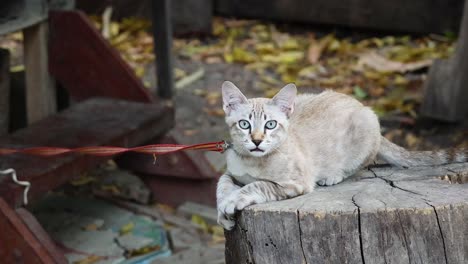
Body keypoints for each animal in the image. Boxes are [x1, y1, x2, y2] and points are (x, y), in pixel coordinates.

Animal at [218, 80, 466, 229]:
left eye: (270, 124)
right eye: (244, 124)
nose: (257, 141)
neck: (251, 162)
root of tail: (359, 105)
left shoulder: (296, 183)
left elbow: (257, 185)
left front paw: (234, 200)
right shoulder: (231, 172)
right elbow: (222, 185)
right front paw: (224, 211)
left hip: (367, 123)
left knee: (361, 164)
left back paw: (333, 176)